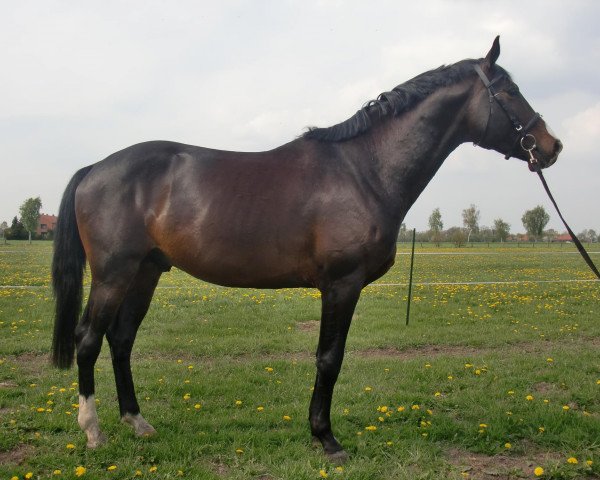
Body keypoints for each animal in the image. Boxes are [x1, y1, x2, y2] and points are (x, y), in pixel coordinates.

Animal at [51, 38, 564, 462]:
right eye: (510, 90)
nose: (551, 145)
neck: (363, 170)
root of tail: (96, 167)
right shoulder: (341, 284)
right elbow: (329, 359)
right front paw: (327, 438)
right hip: (113, 275)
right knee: (88, 339)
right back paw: (93, 432)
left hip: (147, 272)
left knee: (121, 340)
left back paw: (138, 422)